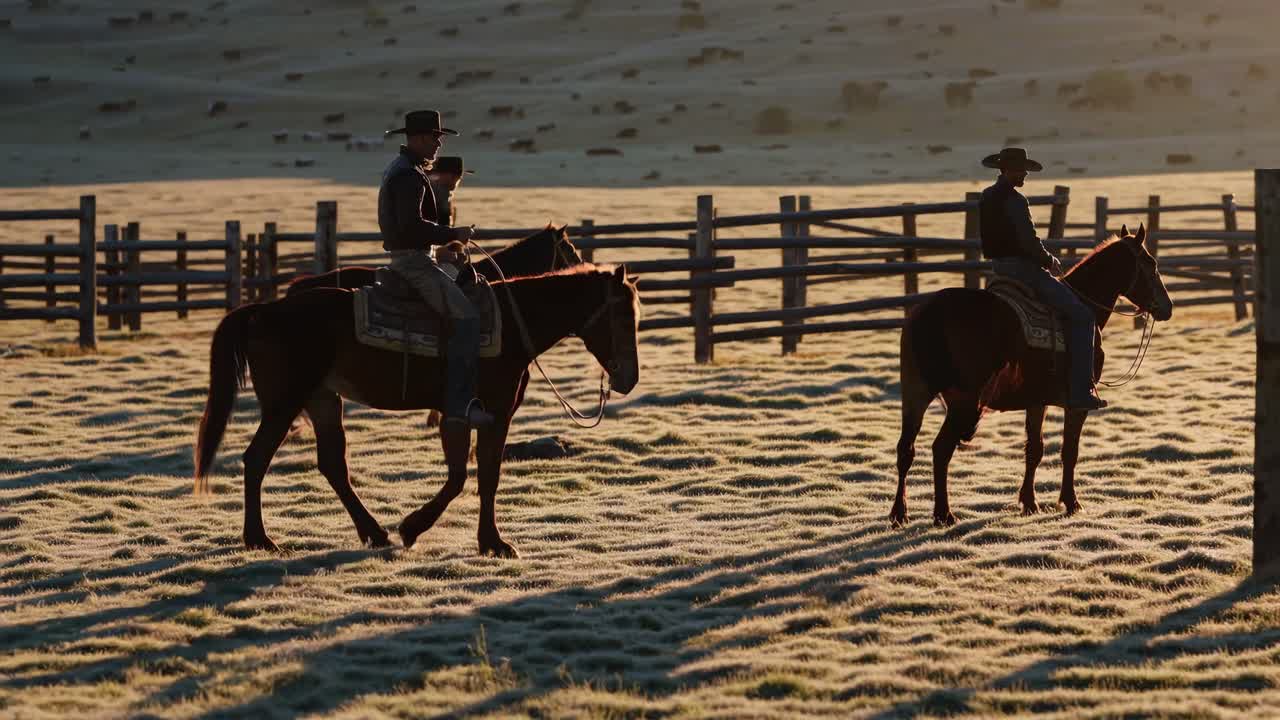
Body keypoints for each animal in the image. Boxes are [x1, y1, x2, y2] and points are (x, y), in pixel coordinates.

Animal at [193, 265, 641, 556]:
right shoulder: (485, 412)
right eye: (623, 315)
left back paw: (373, 533)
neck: (511, 326)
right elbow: (473, 476)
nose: (628, 379)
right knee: (256, 459)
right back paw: (260, 539)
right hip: (283, 404)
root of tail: (261, 311)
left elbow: (476, 475)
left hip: (322, 400)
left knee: (332, 465)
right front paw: (445, 534)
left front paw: (482, 540)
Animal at [892, 224, 1174, 527]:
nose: (1167, 306)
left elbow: (1034, 449)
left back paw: (899, 513)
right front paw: (1071, 502)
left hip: (916, 394)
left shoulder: (1037, 400)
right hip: (962, 402)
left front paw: (1029, 503)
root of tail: (930, 313)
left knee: (906, 449)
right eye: (1150, 263)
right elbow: (1069, 450)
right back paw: (943, 514)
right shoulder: (1078, 402)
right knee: (941, 449)